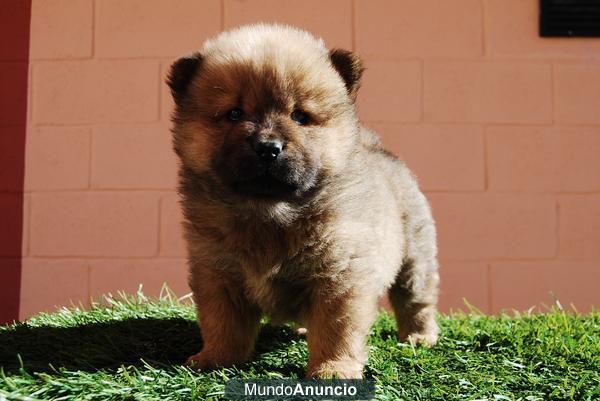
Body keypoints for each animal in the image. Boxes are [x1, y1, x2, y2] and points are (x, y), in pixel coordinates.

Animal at [166, 23, 438, 376]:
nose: (268, 147)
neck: (269, 215)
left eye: (299, 116)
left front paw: (333, 369)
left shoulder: (339, 276)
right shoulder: (217, 271)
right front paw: (216, 358)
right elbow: (222, 323)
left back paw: (419, 336)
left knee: (416, 300)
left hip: (414, 258)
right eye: (234, 113)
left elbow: (336, 330)